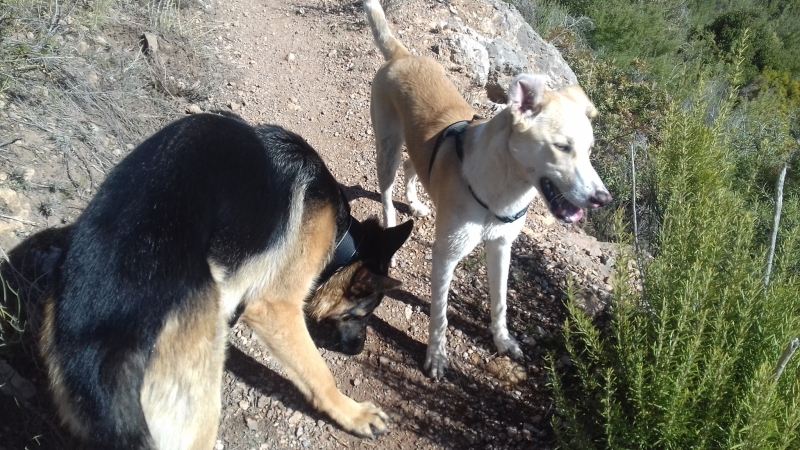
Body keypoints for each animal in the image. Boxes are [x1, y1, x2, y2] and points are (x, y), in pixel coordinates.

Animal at [7, 112, 412, 446]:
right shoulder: (274, 308)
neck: (344, 239)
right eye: (362, 314)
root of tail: (97, 355)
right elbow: (318, 373)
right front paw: (353, 413)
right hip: (200, 399)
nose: (358, 350)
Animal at [364, 0, 612, 380]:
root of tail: (403, 55)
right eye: (562, 147)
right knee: (387, 192)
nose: (603, 199)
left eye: (589, 149)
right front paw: (436, 357)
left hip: (414, 149)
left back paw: (417, 204)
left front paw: (503, 341)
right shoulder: (446, 255)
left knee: (411, 167)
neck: (503, 188)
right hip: (387, 146)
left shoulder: (501, 247)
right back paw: (392, 226)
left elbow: (500, 302)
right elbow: (440, 314)